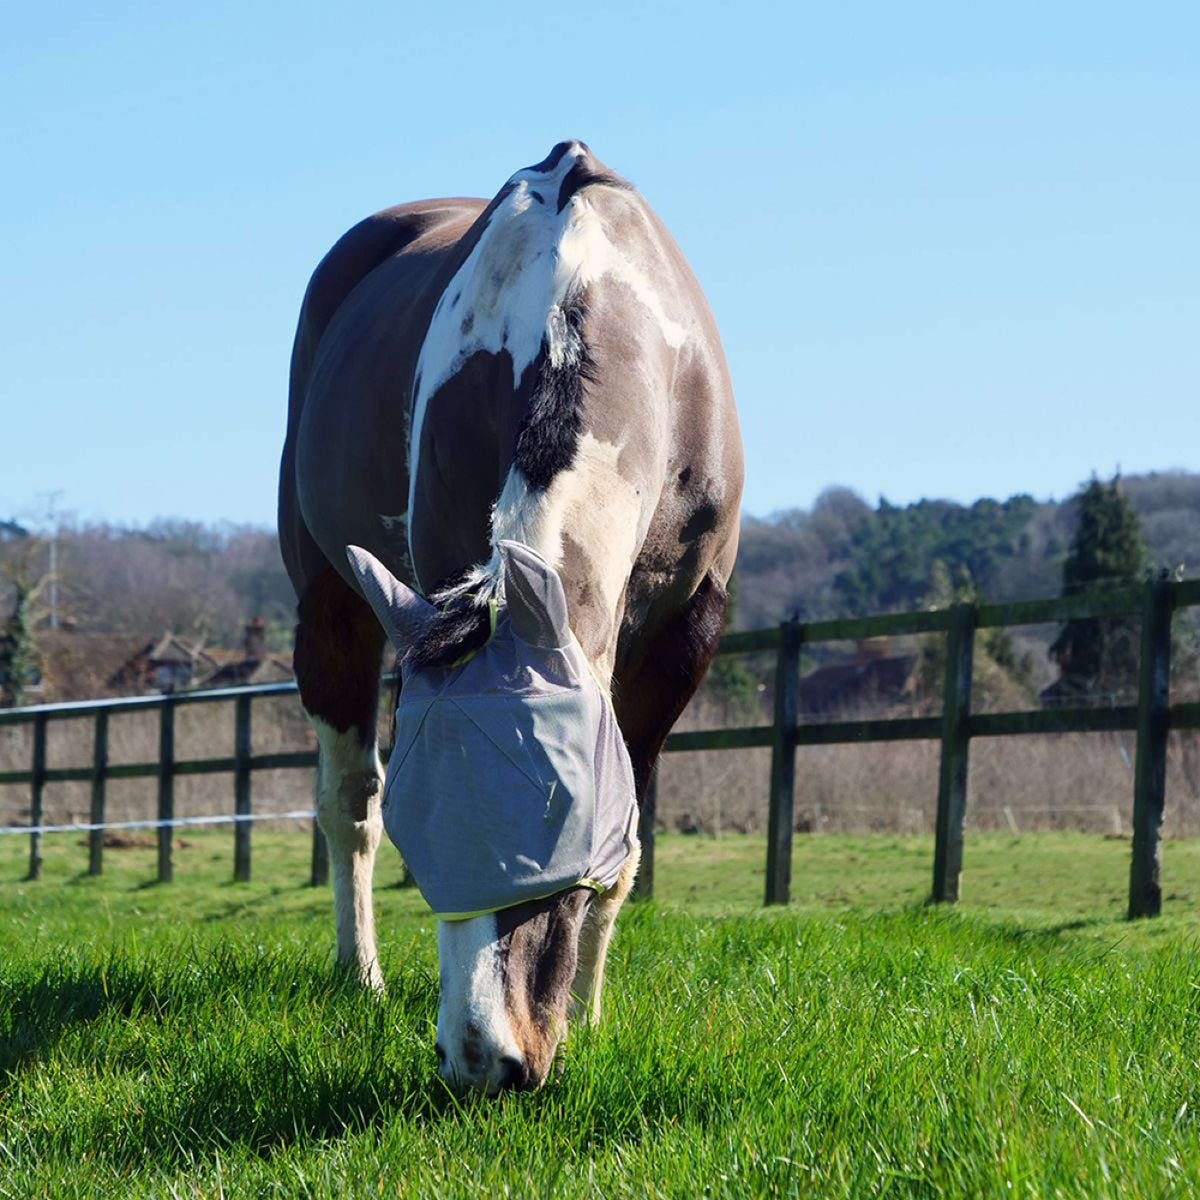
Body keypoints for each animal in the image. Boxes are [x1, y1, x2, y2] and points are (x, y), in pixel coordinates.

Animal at [278, 136, 739, 1094]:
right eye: (423, 832)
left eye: (559, 817)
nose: (483, 1061)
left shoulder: (685, 633)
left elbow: (629, 829)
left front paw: (592, 1017)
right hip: (332, 603)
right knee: (346, 800)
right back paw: (360, 973)